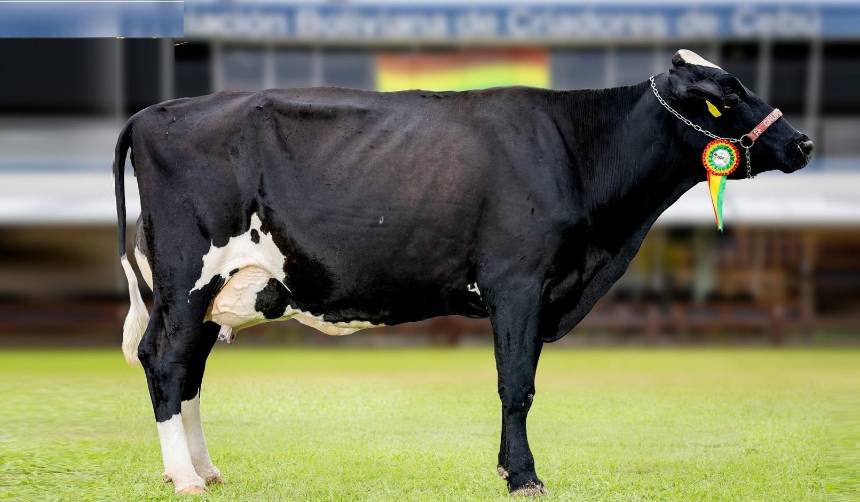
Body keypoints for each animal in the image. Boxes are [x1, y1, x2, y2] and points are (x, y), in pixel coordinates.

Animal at [113, 50, 813, 496]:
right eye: (727, 95)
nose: (803, 143)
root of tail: (151, 113)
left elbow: (517, 384)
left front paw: (511, 470)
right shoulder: (519, 282)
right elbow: (517, 385)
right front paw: (524, 476)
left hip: (213, 292)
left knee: (187, 369)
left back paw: (205, 471)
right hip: (188, 280)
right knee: (166, 361)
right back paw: (184, 478)